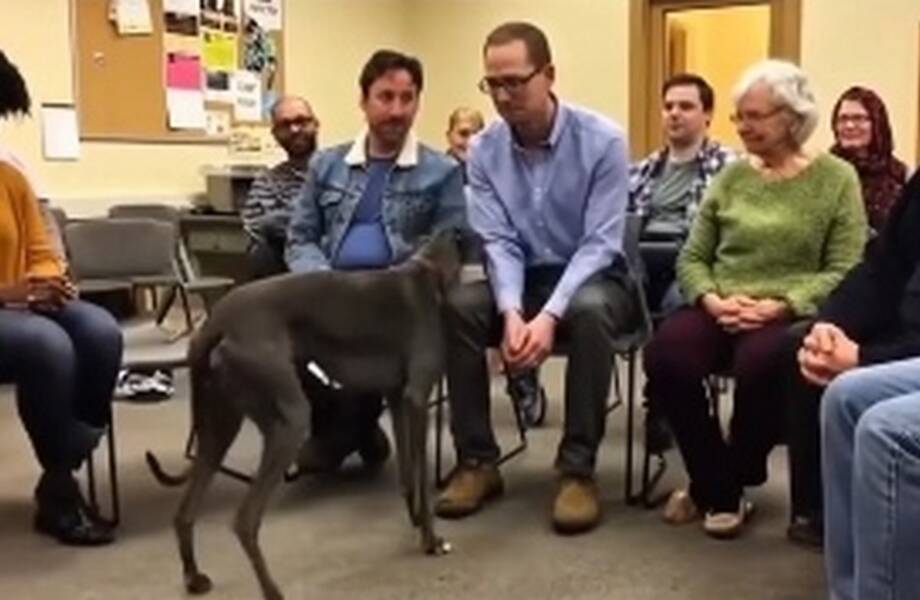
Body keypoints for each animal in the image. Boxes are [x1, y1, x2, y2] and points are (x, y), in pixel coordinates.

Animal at [146, 229, 462, 600]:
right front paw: (431, 541)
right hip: (289, 420)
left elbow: (408, 477)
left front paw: (414, 523)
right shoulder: (416, 398)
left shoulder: (398, 398)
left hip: (217, 428)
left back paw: (194, 577)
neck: (428, 270)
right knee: (245, 521)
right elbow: (423, 480)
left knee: (184, 513)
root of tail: (216, 320)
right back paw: (272, 591)